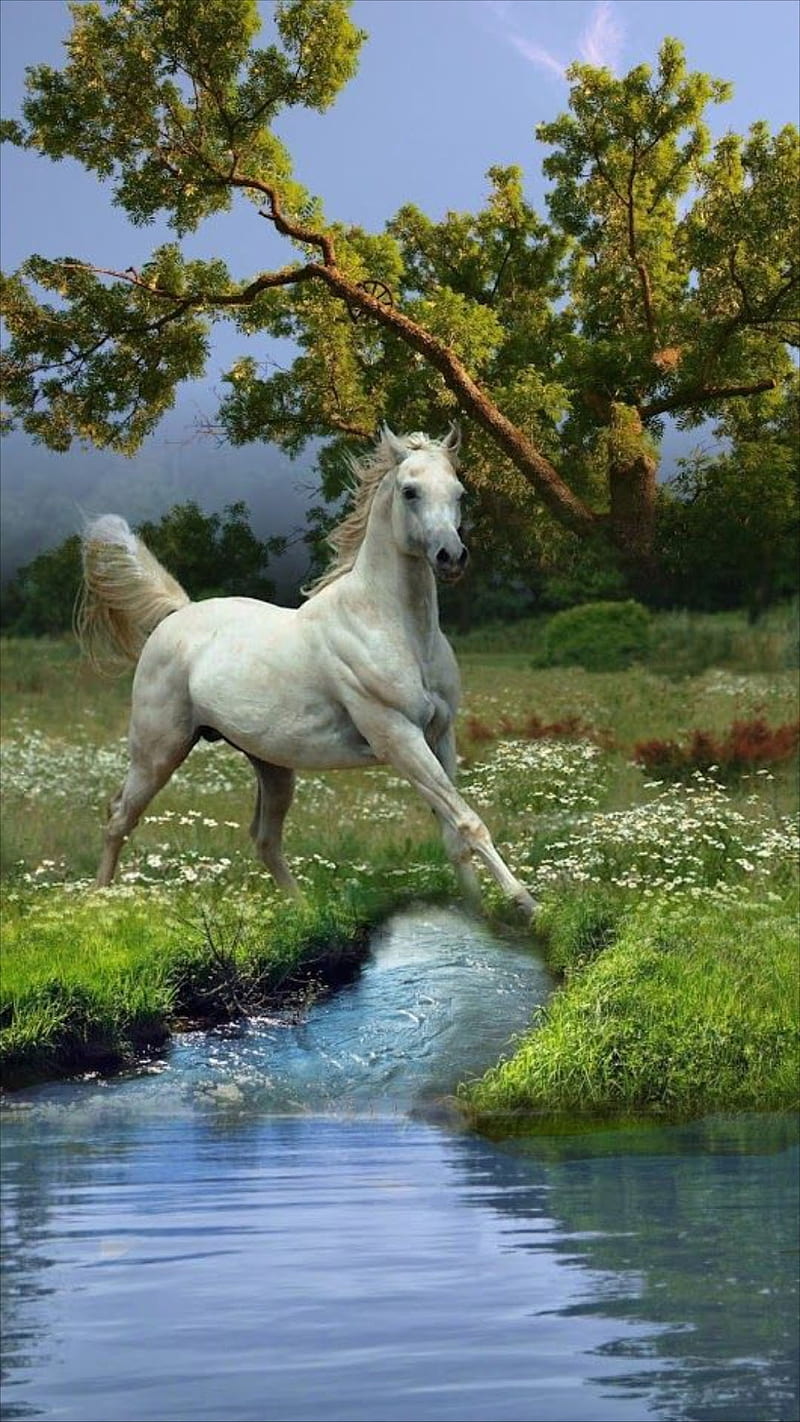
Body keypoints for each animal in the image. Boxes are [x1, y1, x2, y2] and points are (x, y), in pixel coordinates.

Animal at [77, 425, 536, 917]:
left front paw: (479, 917)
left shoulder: (440, 736)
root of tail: (177, 615)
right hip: (157, 751)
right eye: (410, 491)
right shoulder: (399, 738)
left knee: (264, 840)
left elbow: (454, 835)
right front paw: (525, 902)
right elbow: (468, 821)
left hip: (271, 765)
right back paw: (97, 906)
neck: (394, 627)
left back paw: (305, 914)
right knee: (119, 817)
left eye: (459, 492)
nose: (451, 557)